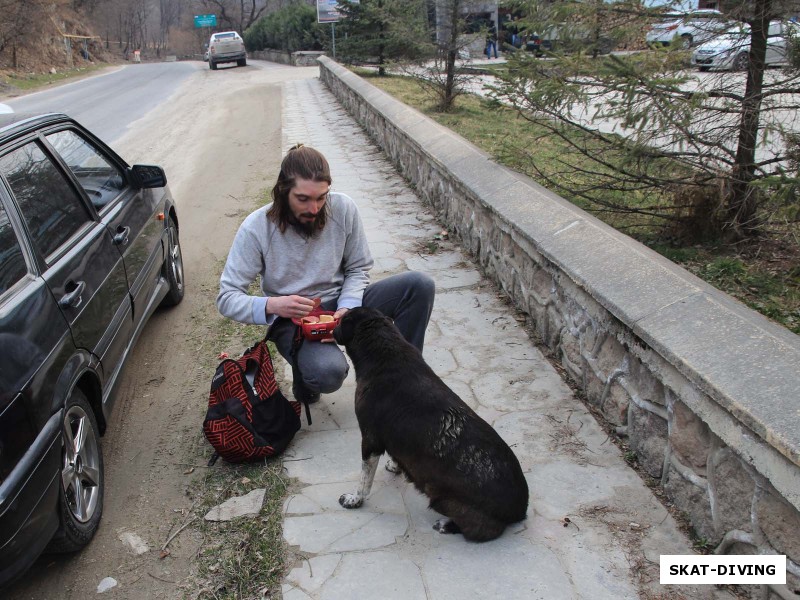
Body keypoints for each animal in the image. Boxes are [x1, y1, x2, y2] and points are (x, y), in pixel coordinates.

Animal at [332, 308, 528, 540]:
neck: (385, 352)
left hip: (442, 499)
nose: (333, 326)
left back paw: (446, 525)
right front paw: (395, 466)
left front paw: (355, 499)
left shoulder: (370, 440)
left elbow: (364, 480)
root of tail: (520, 507)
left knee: (481, 530)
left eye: (343, 320)